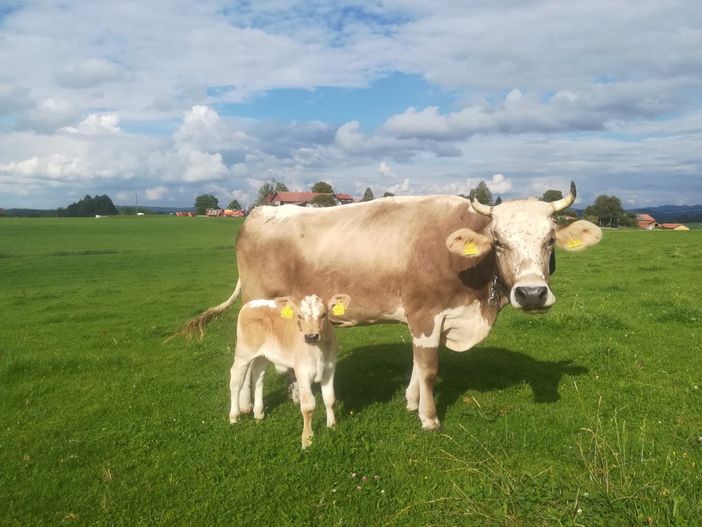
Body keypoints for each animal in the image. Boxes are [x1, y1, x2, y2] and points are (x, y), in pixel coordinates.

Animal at [183, 184, 604, 432]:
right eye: (498, 241)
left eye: (550, 240)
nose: (531, 294)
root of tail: (258, 214)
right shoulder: (425, 313)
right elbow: (429, 368)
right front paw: (429, 418)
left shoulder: (429, 319)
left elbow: (417, 365)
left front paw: (410, 401)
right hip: (256, 309)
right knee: (248, 367)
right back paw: (243, 409)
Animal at [231, 294, 352, 448]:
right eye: (299, 316)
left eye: (324, 314)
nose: (311, 336)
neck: (318, 352)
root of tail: (252, 303)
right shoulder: (302, 371)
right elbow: (308, 406)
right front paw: (307, 440)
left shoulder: (330, 369)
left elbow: (330, 399)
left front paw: (332, 426)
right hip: (243, 352)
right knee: (236, 379)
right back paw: (234, 416)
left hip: (262, 355)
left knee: (258, 377)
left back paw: (258, 413)